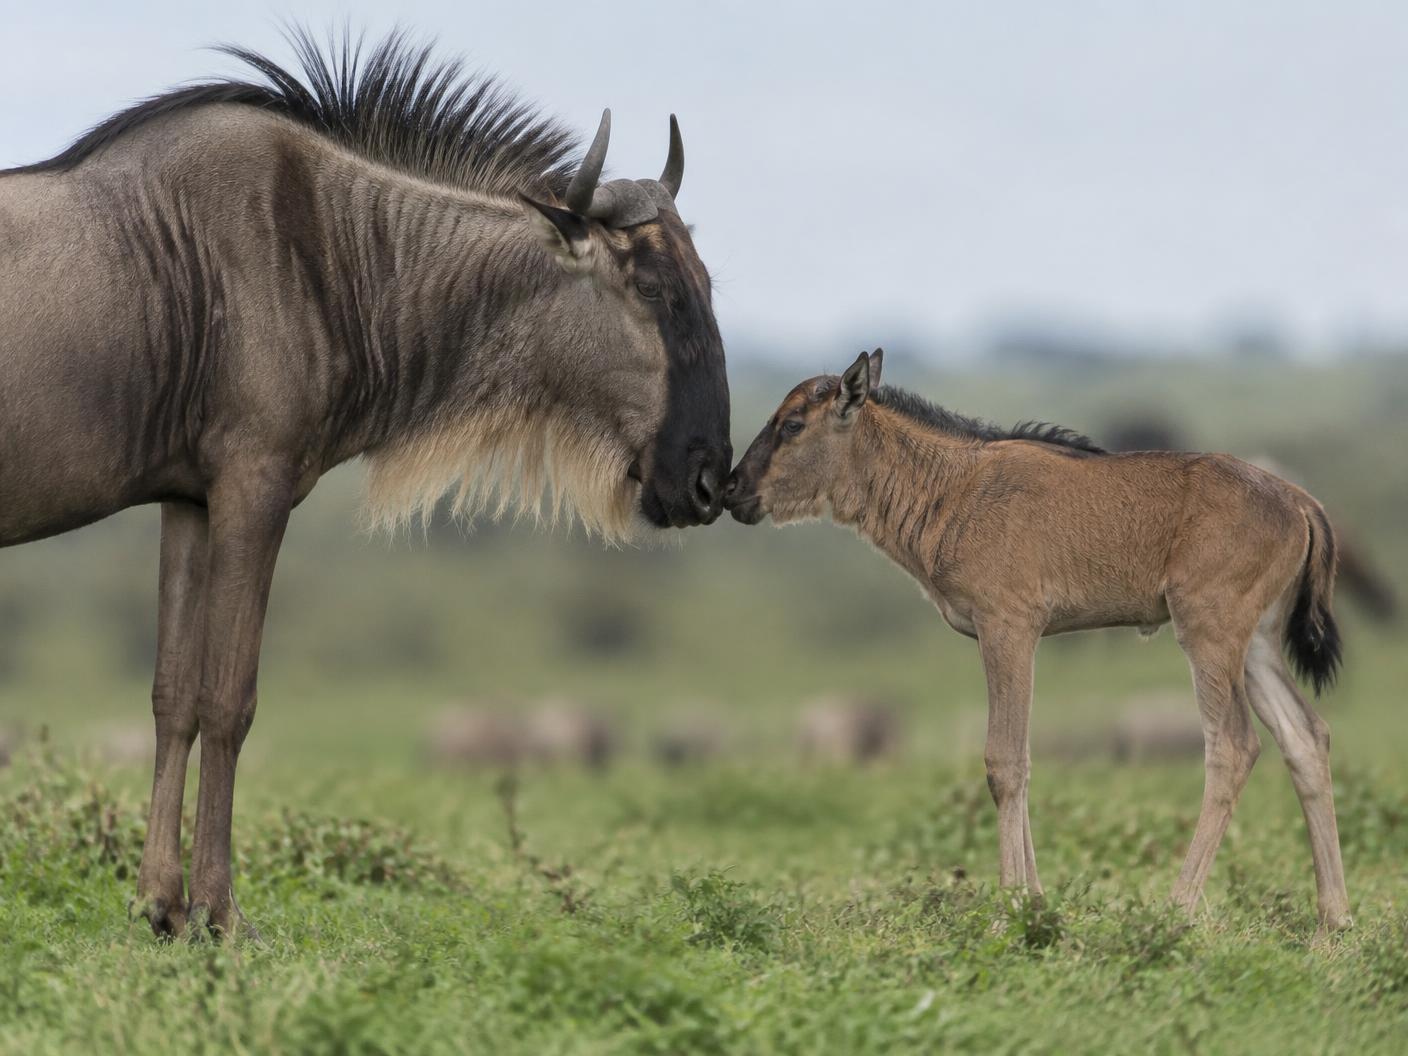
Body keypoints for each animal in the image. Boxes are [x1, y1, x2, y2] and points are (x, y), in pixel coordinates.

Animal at [0, 31, 732, 937]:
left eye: (708, 286)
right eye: (657, 291)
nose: (709, 480)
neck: (328, 247)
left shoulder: (189, 501)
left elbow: (172, 695)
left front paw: (159, 906)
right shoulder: (254, 485)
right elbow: (227, 699)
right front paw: (220, 913)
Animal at [725, 350, 1351, 932]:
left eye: (792, 425)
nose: (732, 489)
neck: (954, 489)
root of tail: (1300, 501)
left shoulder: (1008, 629)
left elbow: (1003, 761)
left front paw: (1009, 911)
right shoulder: (1020, 637)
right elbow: (1022, 759)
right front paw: (1036, 904)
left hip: (1209, 632)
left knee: (1233, 745)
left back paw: (1176, 909)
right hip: (1257, 645)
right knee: (1306, 736)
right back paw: (1334, 918)